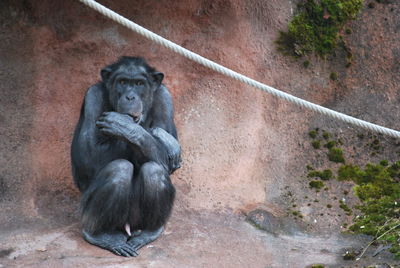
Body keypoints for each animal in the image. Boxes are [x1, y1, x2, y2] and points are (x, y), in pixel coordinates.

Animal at [70, 57, 181, 258]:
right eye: (122, 82)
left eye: (139, 84)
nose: (130, 97)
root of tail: (128, 228)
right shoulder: (92, 97)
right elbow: (86, 157)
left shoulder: (165, 98)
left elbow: (165, 163)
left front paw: (126, 127)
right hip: (89, 214)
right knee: (119, 170)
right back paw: (101, 235)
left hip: (137, 220)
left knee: (154, 171)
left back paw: (149, 232)